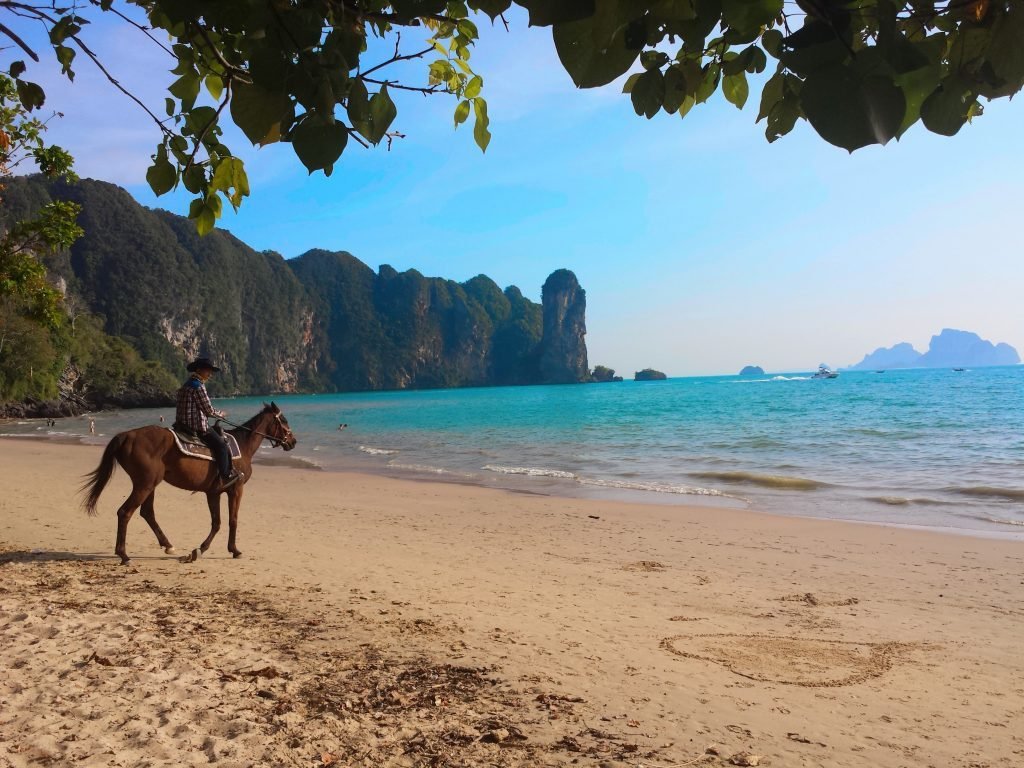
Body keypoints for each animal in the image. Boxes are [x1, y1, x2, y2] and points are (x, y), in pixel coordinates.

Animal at [79, 403, 296, 565]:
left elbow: (216, 522)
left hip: (149, 484)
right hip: (145, 485)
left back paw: (167, 545)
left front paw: (199, 550)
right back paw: (124, 554)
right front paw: (234, 550)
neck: (242, 446)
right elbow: (232, 520)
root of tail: (126, 436)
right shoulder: (236, 489)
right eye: (284, 420)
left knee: (147, 513)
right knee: (125, 512)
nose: (293, 441)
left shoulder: (213, 492)